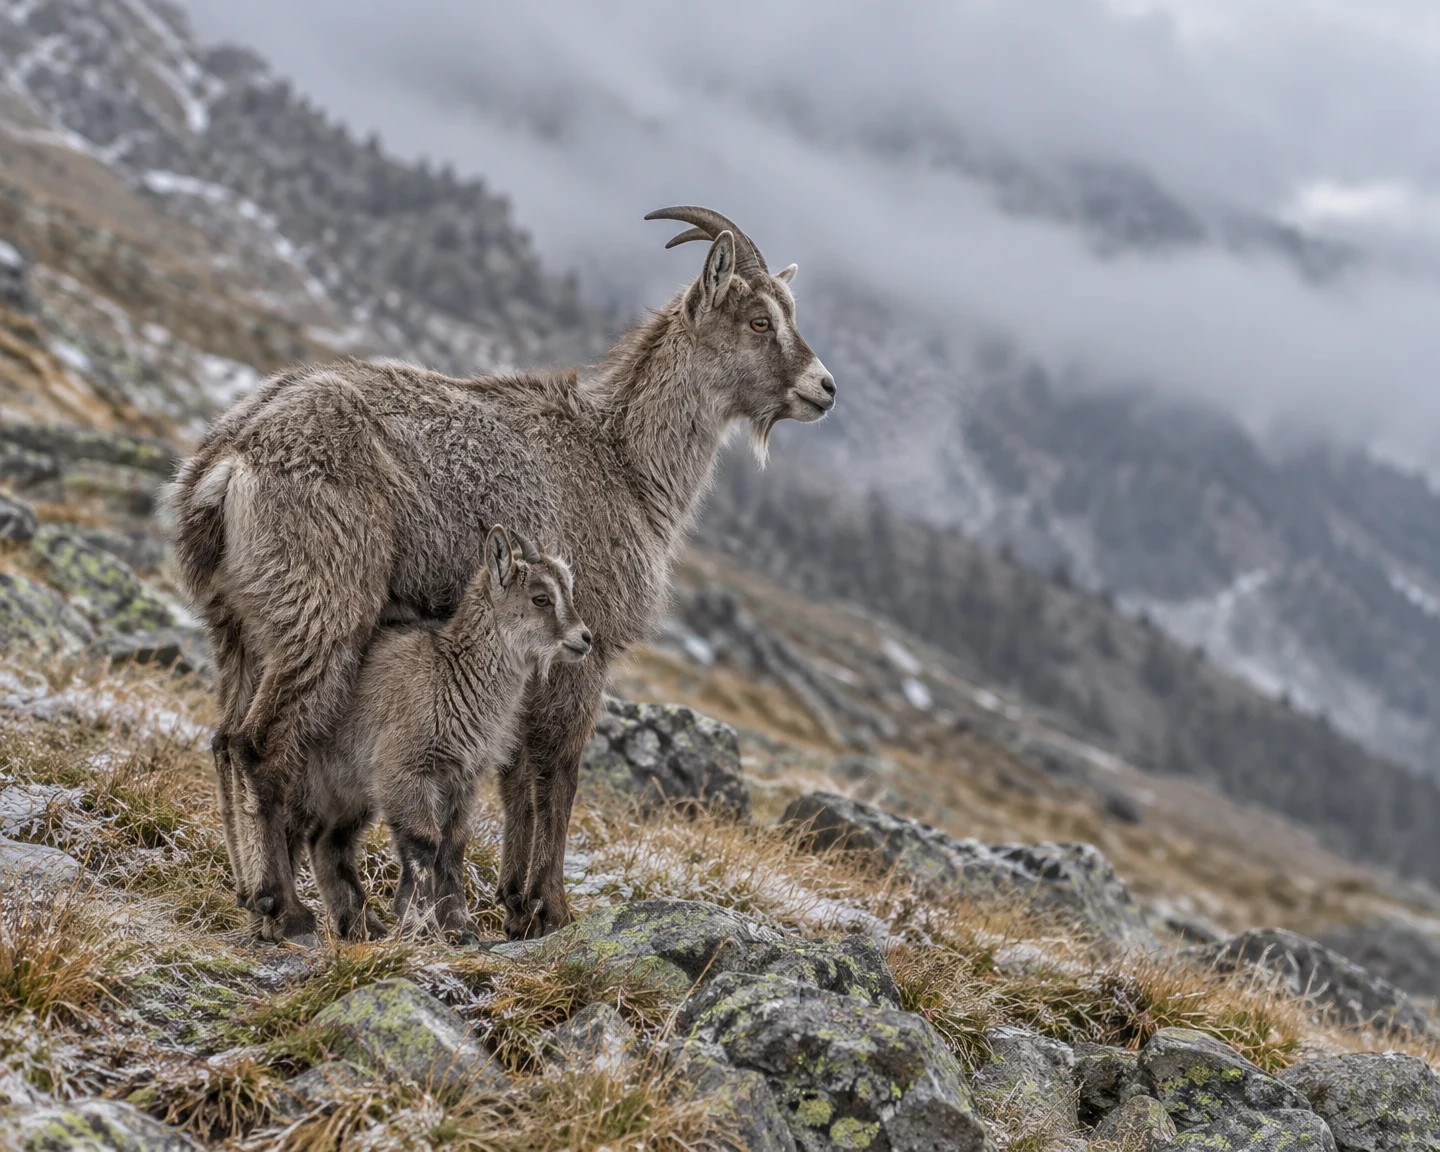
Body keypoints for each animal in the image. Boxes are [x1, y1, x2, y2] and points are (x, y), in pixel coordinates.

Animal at [299, 525, 590, 943]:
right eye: (541, 598)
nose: (585, 639)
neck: (451, 675)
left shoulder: (461, 778)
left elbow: (453, 843)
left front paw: (459, 925)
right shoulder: (404, 769)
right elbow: (424, 842)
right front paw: (416, 921)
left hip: (352, 788)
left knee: (327, 841)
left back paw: (360, 926)